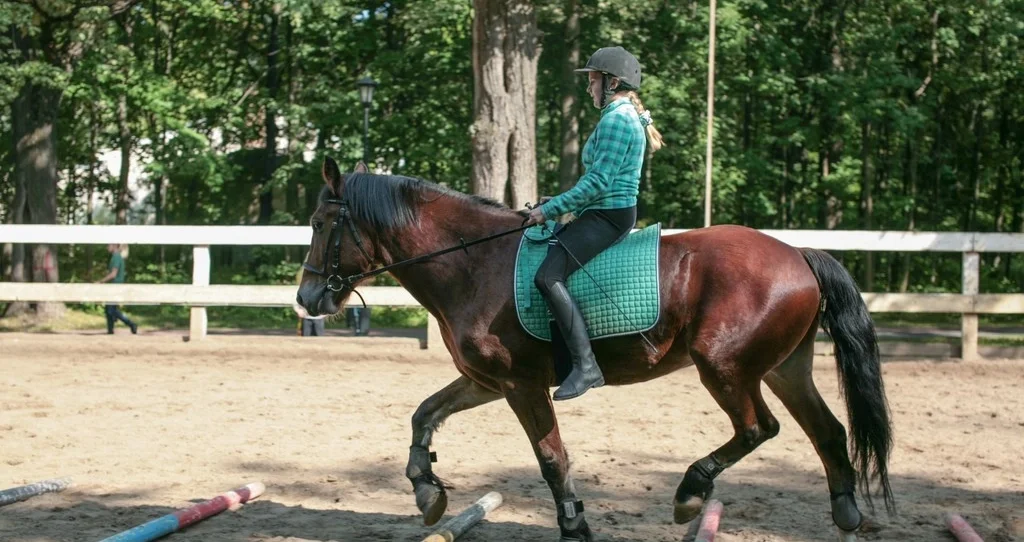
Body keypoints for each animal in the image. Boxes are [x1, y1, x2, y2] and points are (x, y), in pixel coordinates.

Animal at [299, 156, 897, 540]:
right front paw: (427, 492)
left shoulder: (521, 385)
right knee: (827, 430)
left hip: (724, 367)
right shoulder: (486, 381)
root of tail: (798, 253)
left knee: (758, 428)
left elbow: (551, 458)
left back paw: (689, 493)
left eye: (323, 223)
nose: (306, 298)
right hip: (782, 367)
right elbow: (424, 413)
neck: (474, 264)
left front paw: (573, 525)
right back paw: (847, 515)